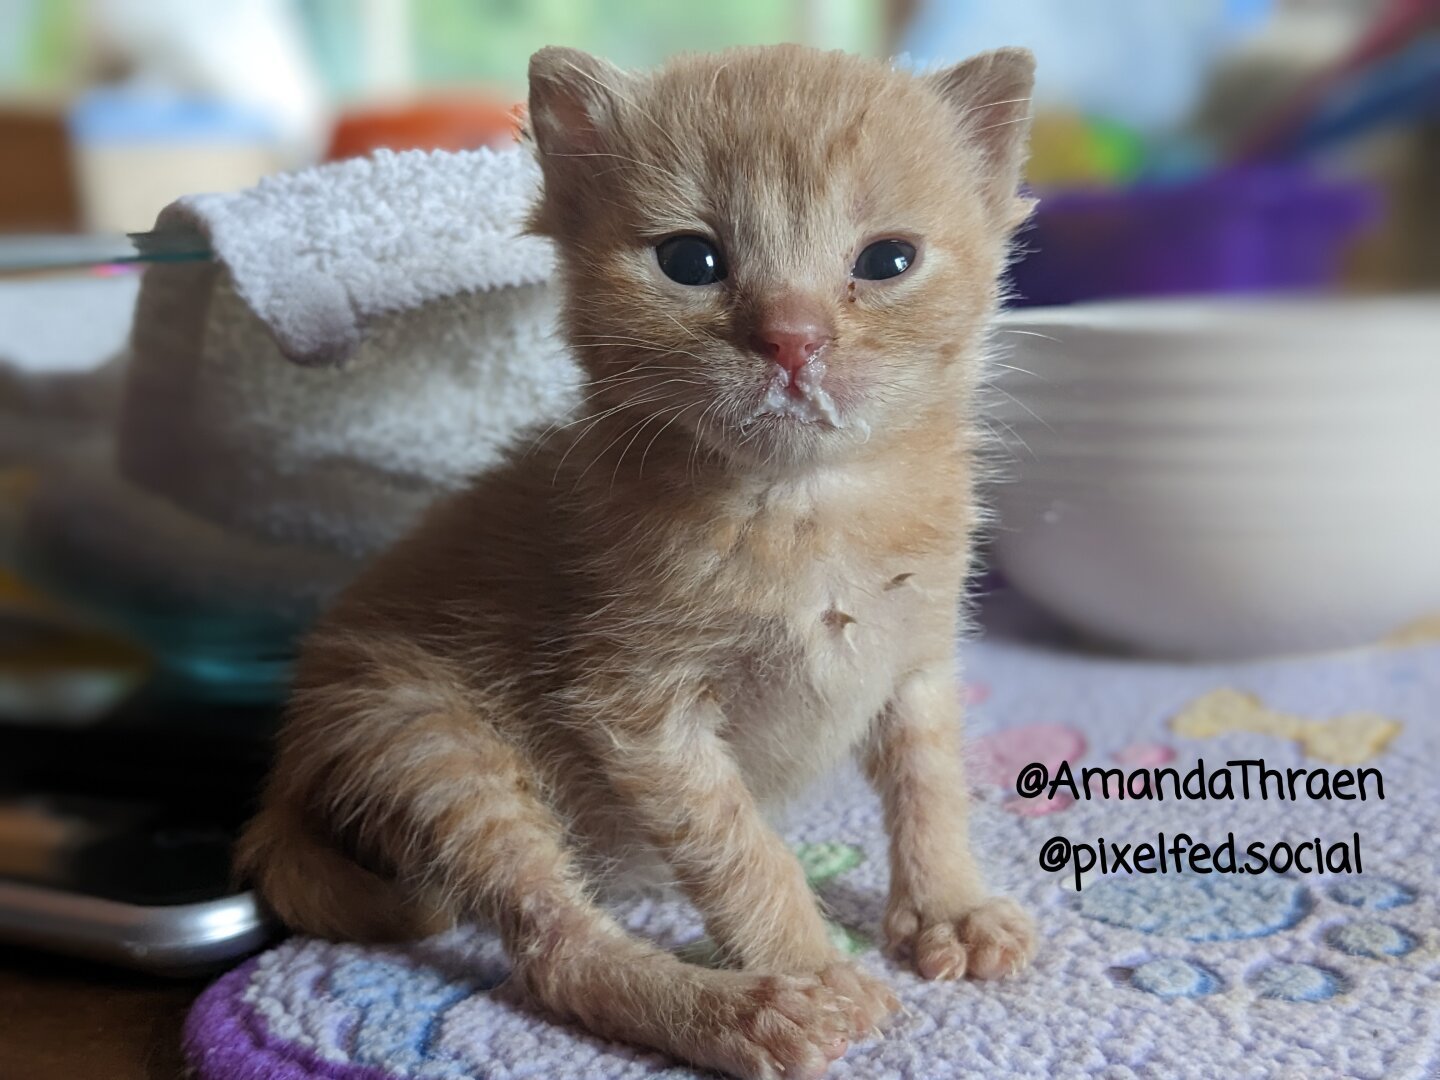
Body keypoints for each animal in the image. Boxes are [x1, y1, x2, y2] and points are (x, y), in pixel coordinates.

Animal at [241, 44, 1042, 1080]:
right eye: (691, 261)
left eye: (888, 260)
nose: (793, 339)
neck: (802, 505)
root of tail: (293, 757)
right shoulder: (638, 708)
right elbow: (739, 847)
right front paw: (812, 968)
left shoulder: (916, 661)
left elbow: (931, 786)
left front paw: (950, 906)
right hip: (426, 738)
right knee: (553, 950)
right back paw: (737, 1013)